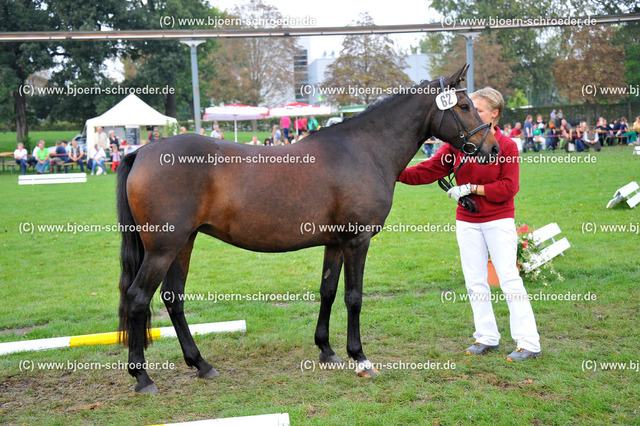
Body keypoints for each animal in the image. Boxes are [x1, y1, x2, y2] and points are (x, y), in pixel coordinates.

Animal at [119, 63, 500, 392]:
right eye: (464, 105)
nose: (493, 148)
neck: (364, 150)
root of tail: (142, 151)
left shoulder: (335, 243)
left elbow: (327, 291)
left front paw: (326, 350)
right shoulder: (357, 242)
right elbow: (353, 297)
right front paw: (360, 358)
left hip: (182, 244)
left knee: (173, 299)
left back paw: (201, 364)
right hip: (163, 248)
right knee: (137, 298)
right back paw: (143, 377)